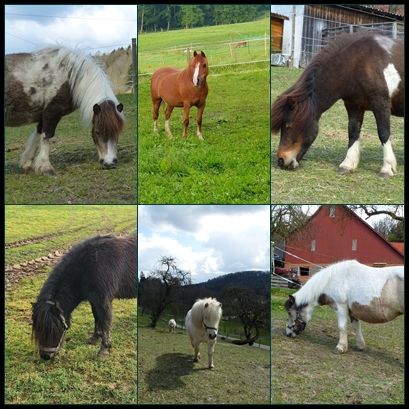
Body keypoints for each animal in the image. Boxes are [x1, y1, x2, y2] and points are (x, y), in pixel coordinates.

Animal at [5, 46, 124, 174]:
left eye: (117, 131)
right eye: (97, 131)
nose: (109, 162)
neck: (69, 77)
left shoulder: (44, 115)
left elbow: (38, 135)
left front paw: (26, 164)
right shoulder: (52, 113)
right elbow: (47, 136)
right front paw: (46, 167)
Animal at [270, 32, 402, 177]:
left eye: (289, 126)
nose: (281, 160)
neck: (358, 63)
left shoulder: (381, 103)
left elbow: (383, 132)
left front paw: (387, 168)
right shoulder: (354, 105)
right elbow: (353, 132)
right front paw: (347, 165)